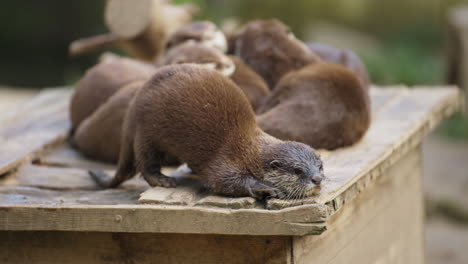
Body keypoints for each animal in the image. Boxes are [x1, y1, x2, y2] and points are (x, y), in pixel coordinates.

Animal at [90, 64, 326, 200]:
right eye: (297, 170)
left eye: (320, 166)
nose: (317, 179)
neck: (250, 151)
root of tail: (135, 102)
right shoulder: (228, 159)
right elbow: (222, 181)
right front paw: (265, 187)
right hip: (147, 130)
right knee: (145, 163)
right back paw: (163, 179)